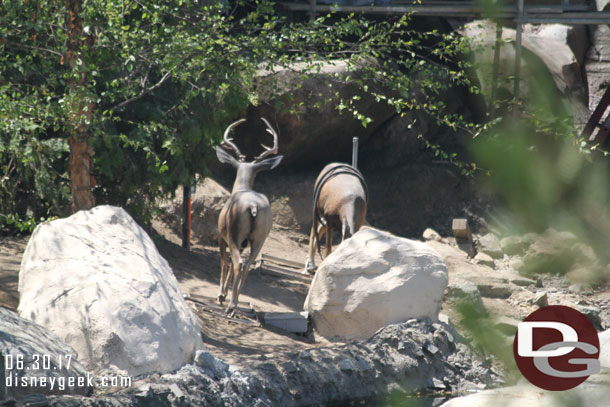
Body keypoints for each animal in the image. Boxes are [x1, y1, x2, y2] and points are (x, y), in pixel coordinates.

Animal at [215, 117, 282, 316]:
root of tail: (253, 206)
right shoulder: (244, 243)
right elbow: (230, 264)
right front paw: (225, 295)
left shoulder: (221, 236)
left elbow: (224, 263)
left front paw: (220, 295)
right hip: (260, 237)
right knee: (246, 266)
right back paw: (234, 305)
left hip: (234, 233)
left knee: (238, 263)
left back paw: (230, 306)